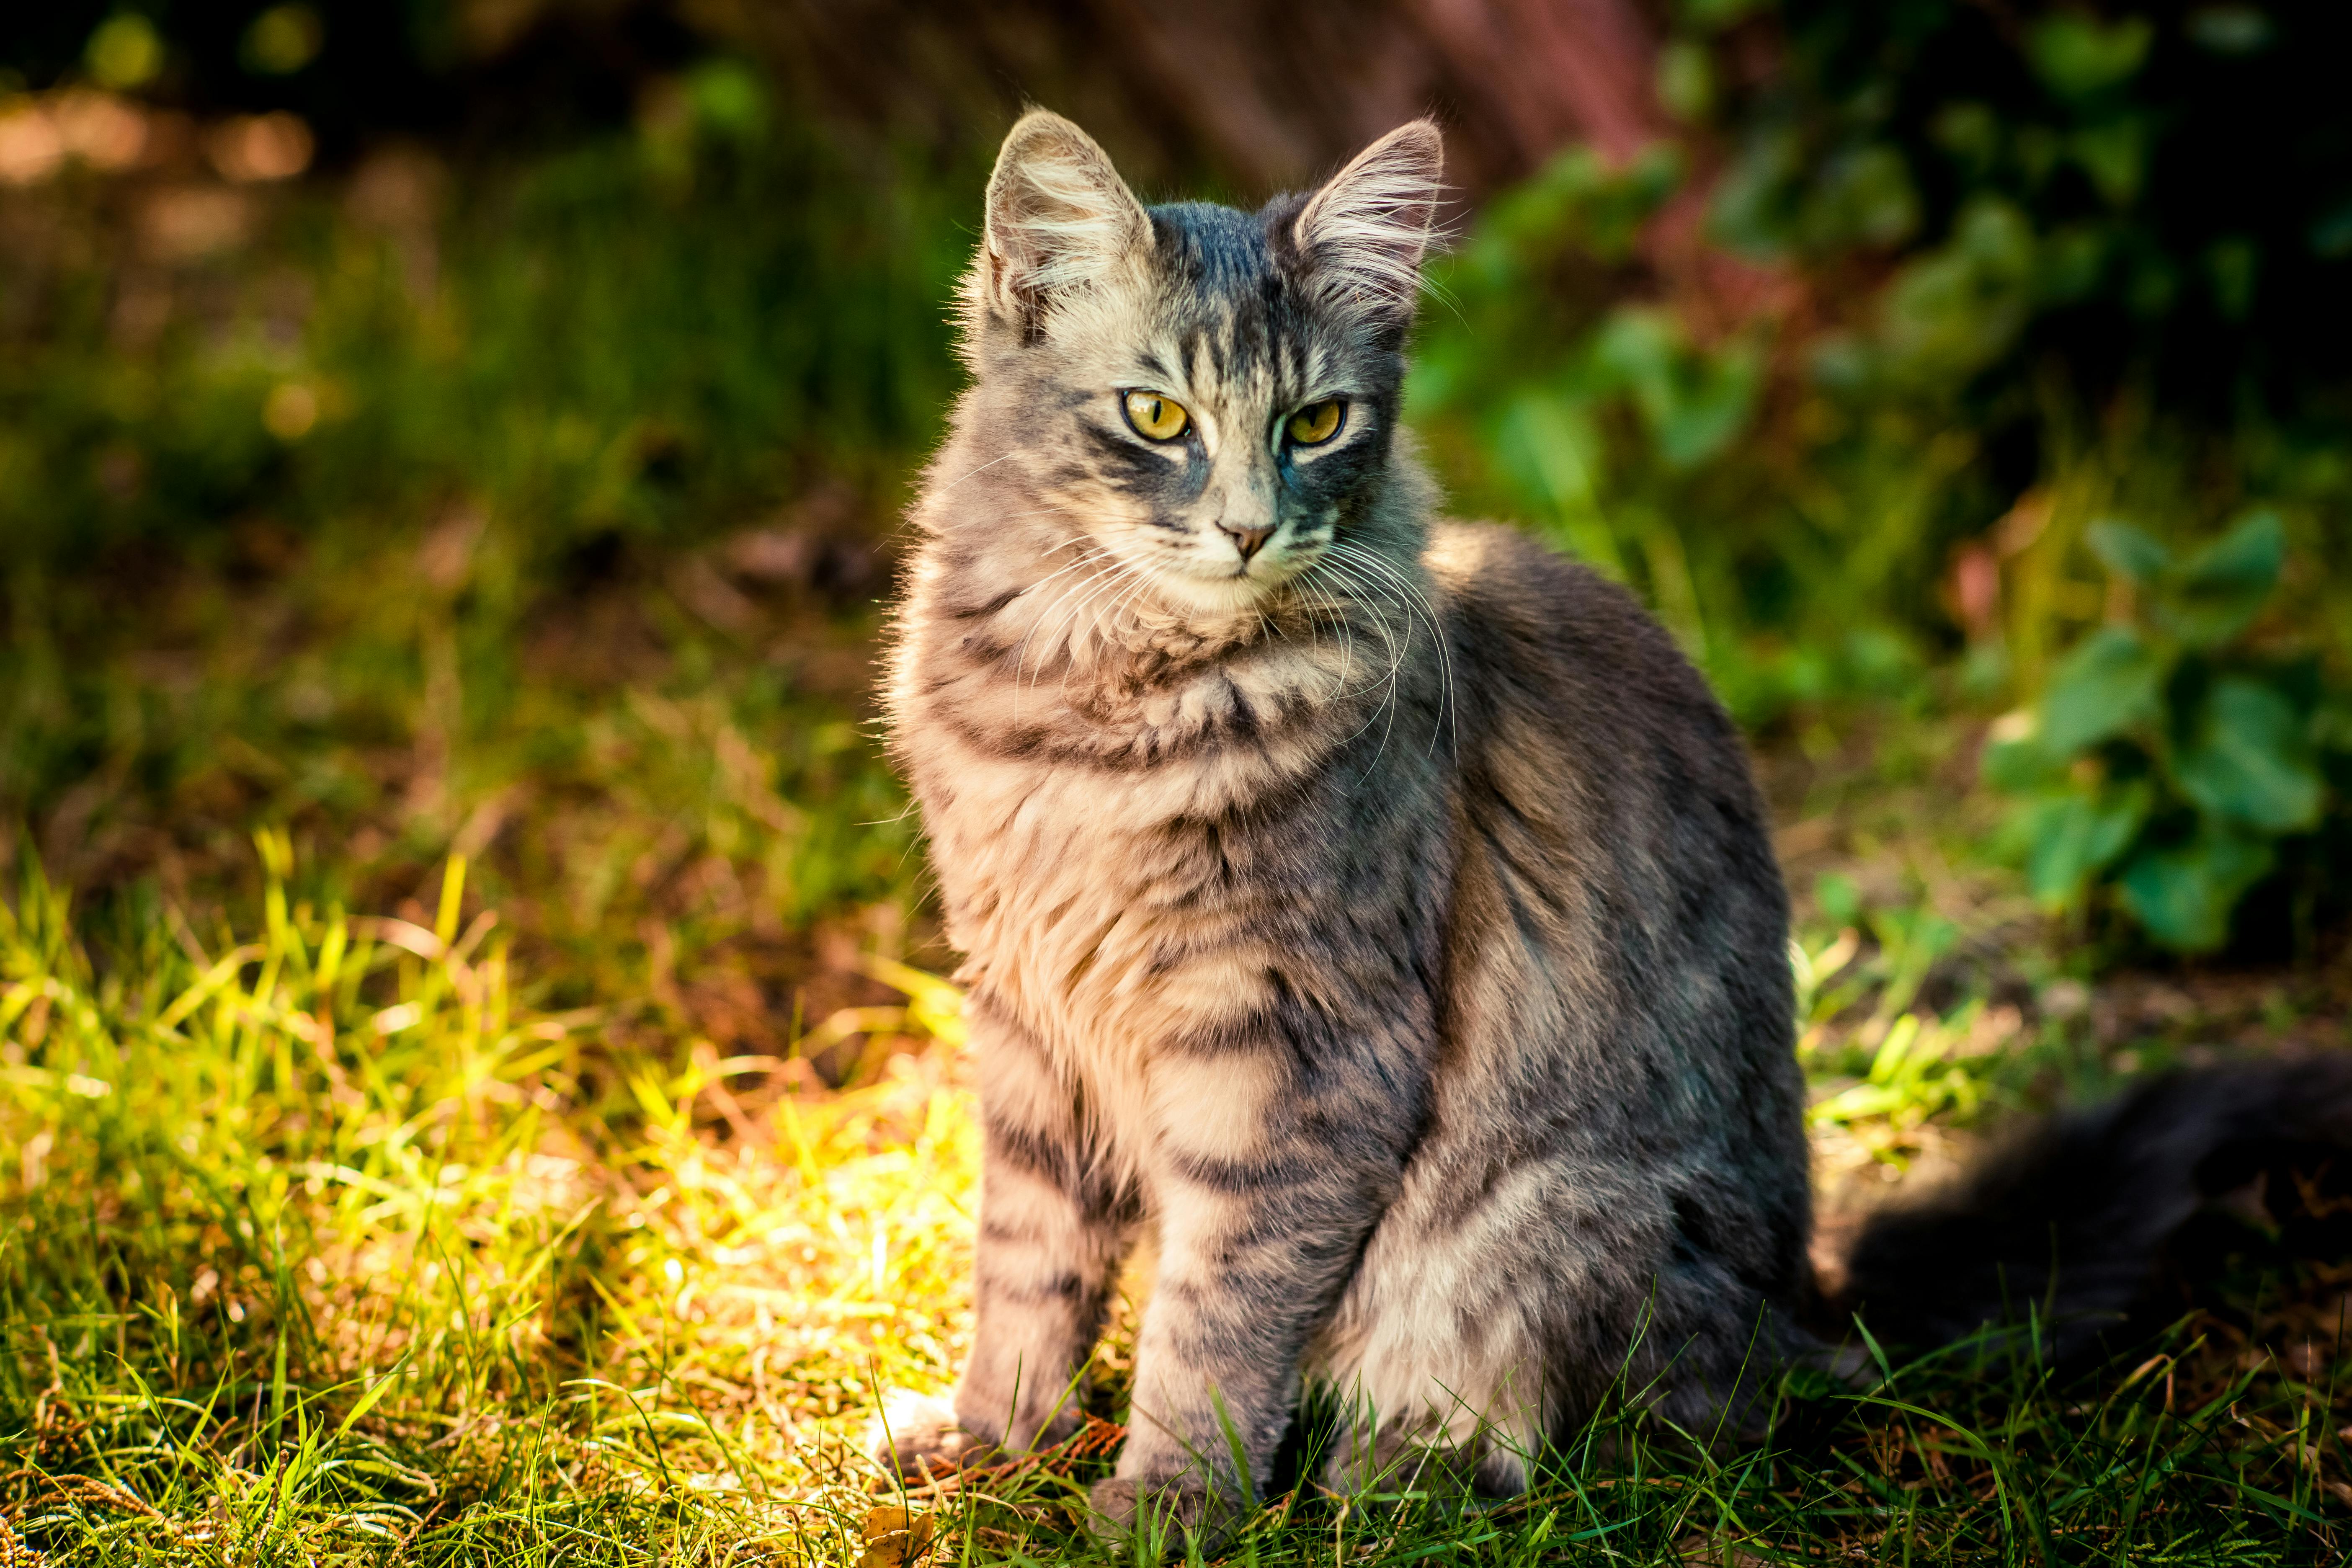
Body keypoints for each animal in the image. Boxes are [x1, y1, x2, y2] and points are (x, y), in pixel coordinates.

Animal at [875, 107, 1806, 1532]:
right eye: (1158, 415)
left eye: (1316, 421)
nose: (1250, 529)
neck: (1094, 713)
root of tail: (1815, 1324)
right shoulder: (1029, 1020)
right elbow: (1028, 1264)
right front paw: (995, 1437)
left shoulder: (1292, 1046)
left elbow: (1214, 1315)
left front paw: (1170, 1501)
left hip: (1553, 1222)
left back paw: (1381, 1476)